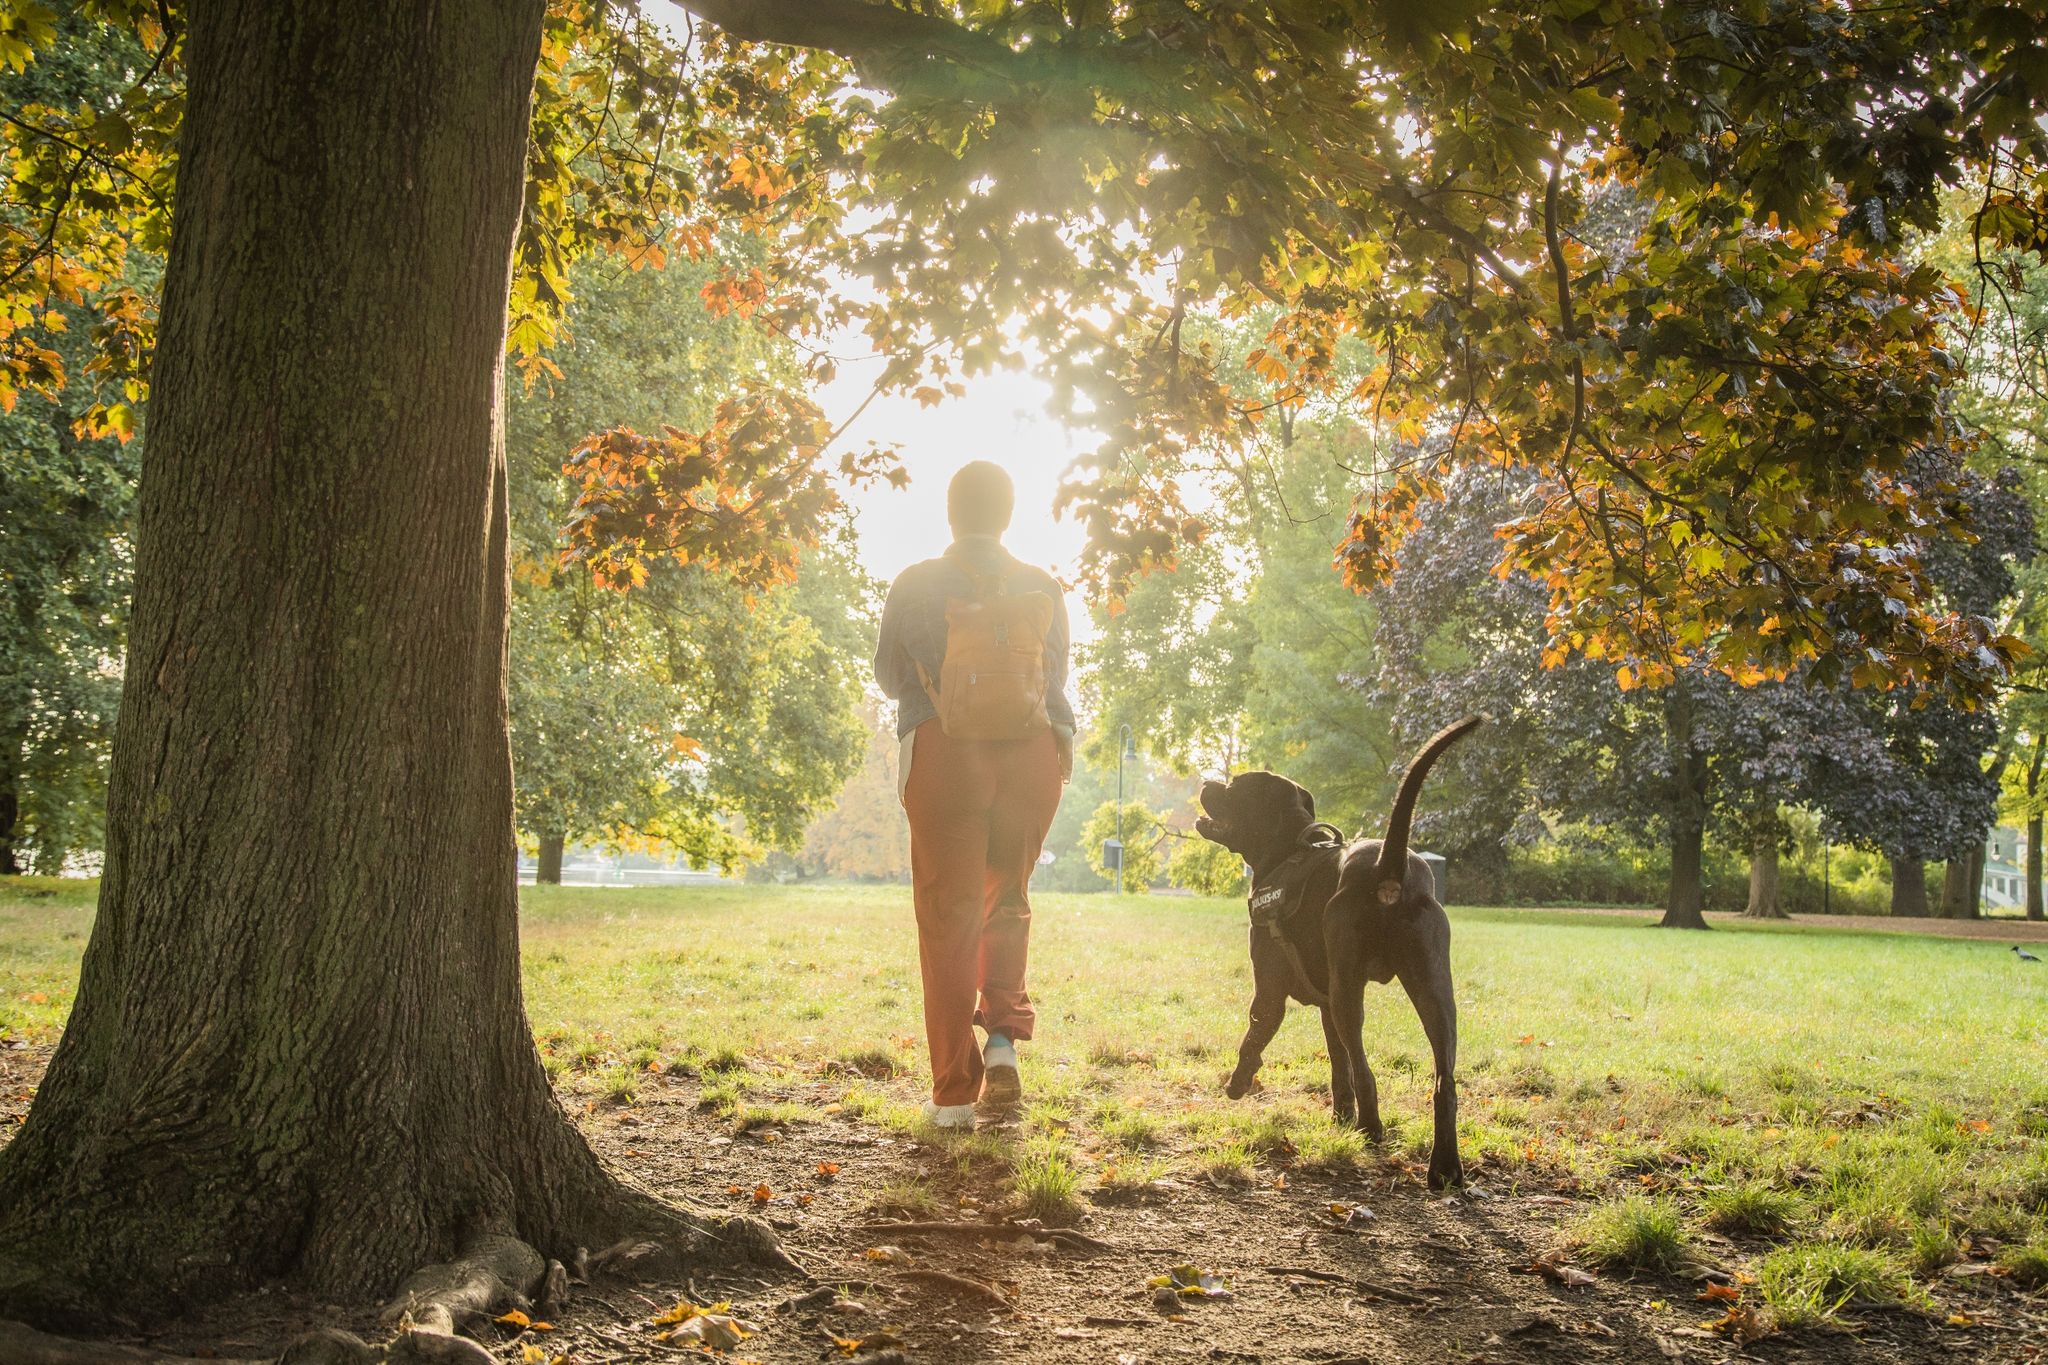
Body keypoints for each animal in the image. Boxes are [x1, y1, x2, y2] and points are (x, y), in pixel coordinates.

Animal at [1196, 720, 1482, 1186]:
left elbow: (1254, 1037)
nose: (1207, 783)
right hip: (1435, 993)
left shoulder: (1270, 992)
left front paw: (1238, 1083)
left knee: (1367, 1071)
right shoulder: (1327, 1004)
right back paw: (1443, 1166)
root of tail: (1389, 868)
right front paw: (1340, 1114)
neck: (1286, 852)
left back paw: (1371, 1128)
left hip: (1352, 993)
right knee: (1444, 1082)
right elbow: (1337, 1063)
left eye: (1235, 786)